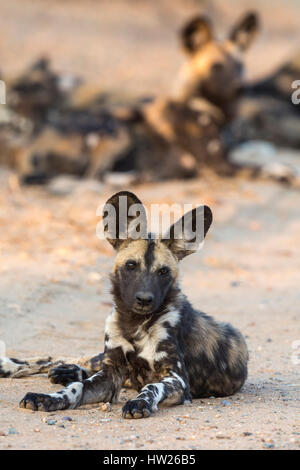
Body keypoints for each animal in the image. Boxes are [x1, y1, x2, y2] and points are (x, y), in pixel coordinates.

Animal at [2, 191, 248, 418]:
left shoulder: (177, 380)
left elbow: (152, 386)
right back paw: (16, 367)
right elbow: (75, 388)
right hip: (99, 361)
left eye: (163, 272)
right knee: (59, 359)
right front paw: (48, 398)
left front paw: (139, 402)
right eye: (131, 265)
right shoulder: (111, 373)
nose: (144, 299)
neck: (134, 324)